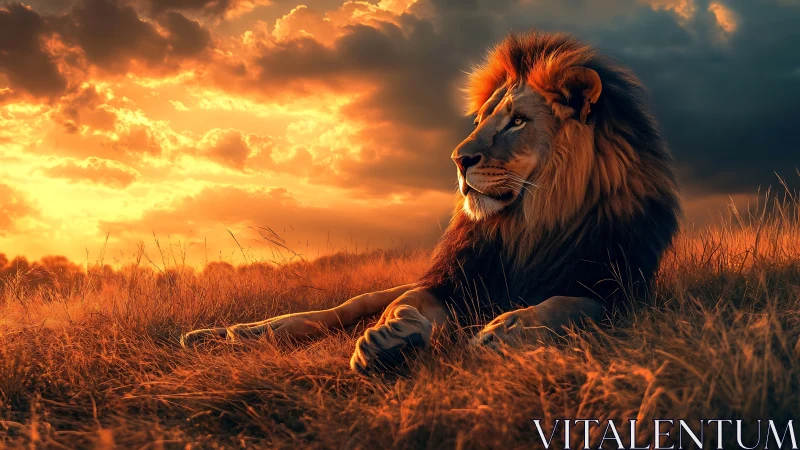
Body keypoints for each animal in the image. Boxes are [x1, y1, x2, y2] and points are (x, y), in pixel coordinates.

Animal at [181, 31, 680, 374]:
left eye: (517, 121)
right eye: (481, 120)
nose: (459, 159)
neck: (532, 220)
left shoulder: (620, 292)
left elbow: (568, 304)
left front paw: (511, 330)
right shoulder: (454, 279)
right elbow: (411, 302)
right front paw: (390, 337)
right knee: (344, 308)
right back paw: (227, 333)